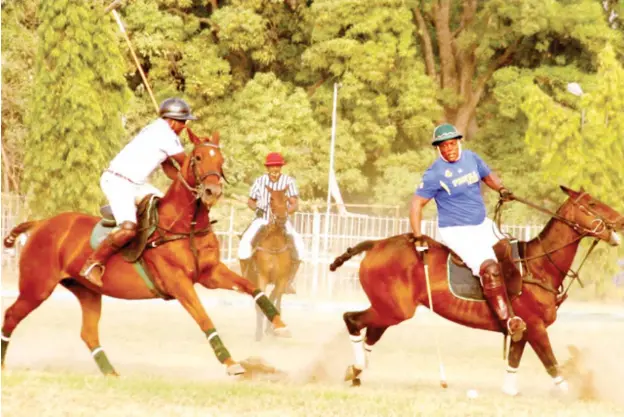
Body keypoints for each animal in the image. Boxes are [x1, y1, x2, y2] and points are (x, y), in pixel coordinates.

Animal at [245, 187, 294, 340]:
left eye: (286, 199)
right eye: (271, 199)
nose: (282, 219)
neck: (274, 245)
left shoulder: (281, 279)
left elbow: (273, 300)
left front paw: (272, 329)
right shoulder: (262, 277)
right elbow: (261, 302)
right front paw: (258, 334)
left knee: (277, 300)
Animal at [330, 187, 620, 394]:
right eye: (592, 204)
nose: (621, 219)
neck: (539, 265)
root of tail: (375, 243)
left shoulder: (523, 329)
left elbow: (514, 361)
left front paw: (510, 390)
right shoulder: (536, 326)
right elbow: (551, 362)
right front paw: (572, 393)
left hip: (389, 307)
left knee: (370, 332)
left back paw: (355, 372)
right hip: (395, 308)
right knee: (352, 319)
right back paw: (356, 367)